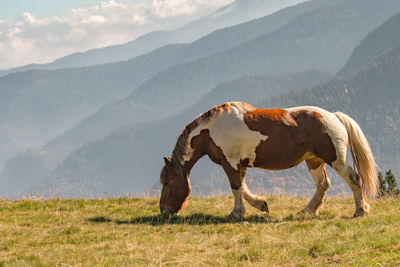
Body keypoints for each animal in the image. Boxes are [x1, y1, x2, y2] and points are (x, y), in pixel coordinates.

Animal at [159, 101, 376, 219]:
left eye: (167, 182)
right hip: (314, 160)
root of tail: (334, 116)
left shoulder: (230, 163)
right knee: (323, 184)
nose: (164, 211)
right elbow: (243, 187)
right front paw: (261, 204)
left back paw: (360, 211)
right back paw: (308, 211)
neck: (211, 130)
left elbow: (236, 188)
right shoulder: (241, 164)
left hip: (335, 160)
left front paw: (237, 213)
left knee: (354, 179)